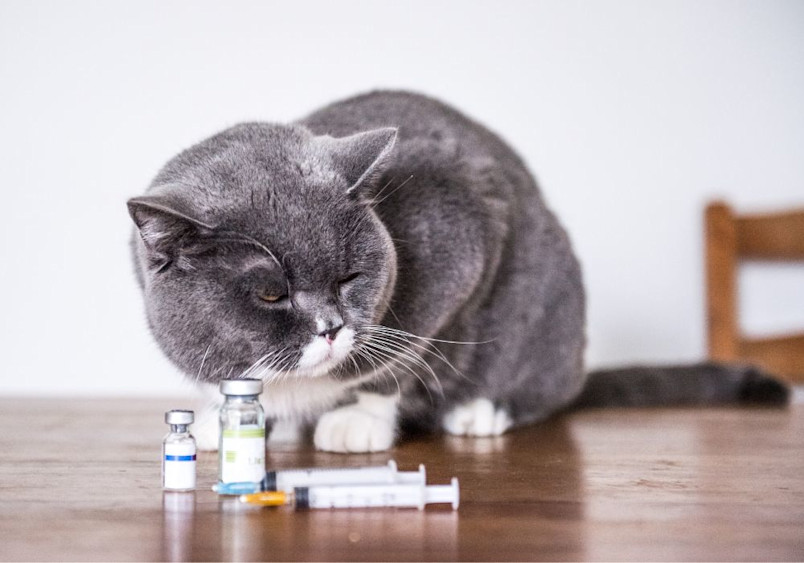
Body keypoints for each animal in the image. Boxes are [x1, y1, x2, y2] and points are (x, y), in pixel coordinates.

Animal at [129, 91, 788, 454]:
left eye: (348, 277)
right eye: (272, 293)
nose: (331, 327)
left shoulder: (459, 246)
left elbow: (396, 363)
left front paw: (357, 422)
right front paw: (222, 422)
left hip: (549, 317)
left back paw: (478, 412)